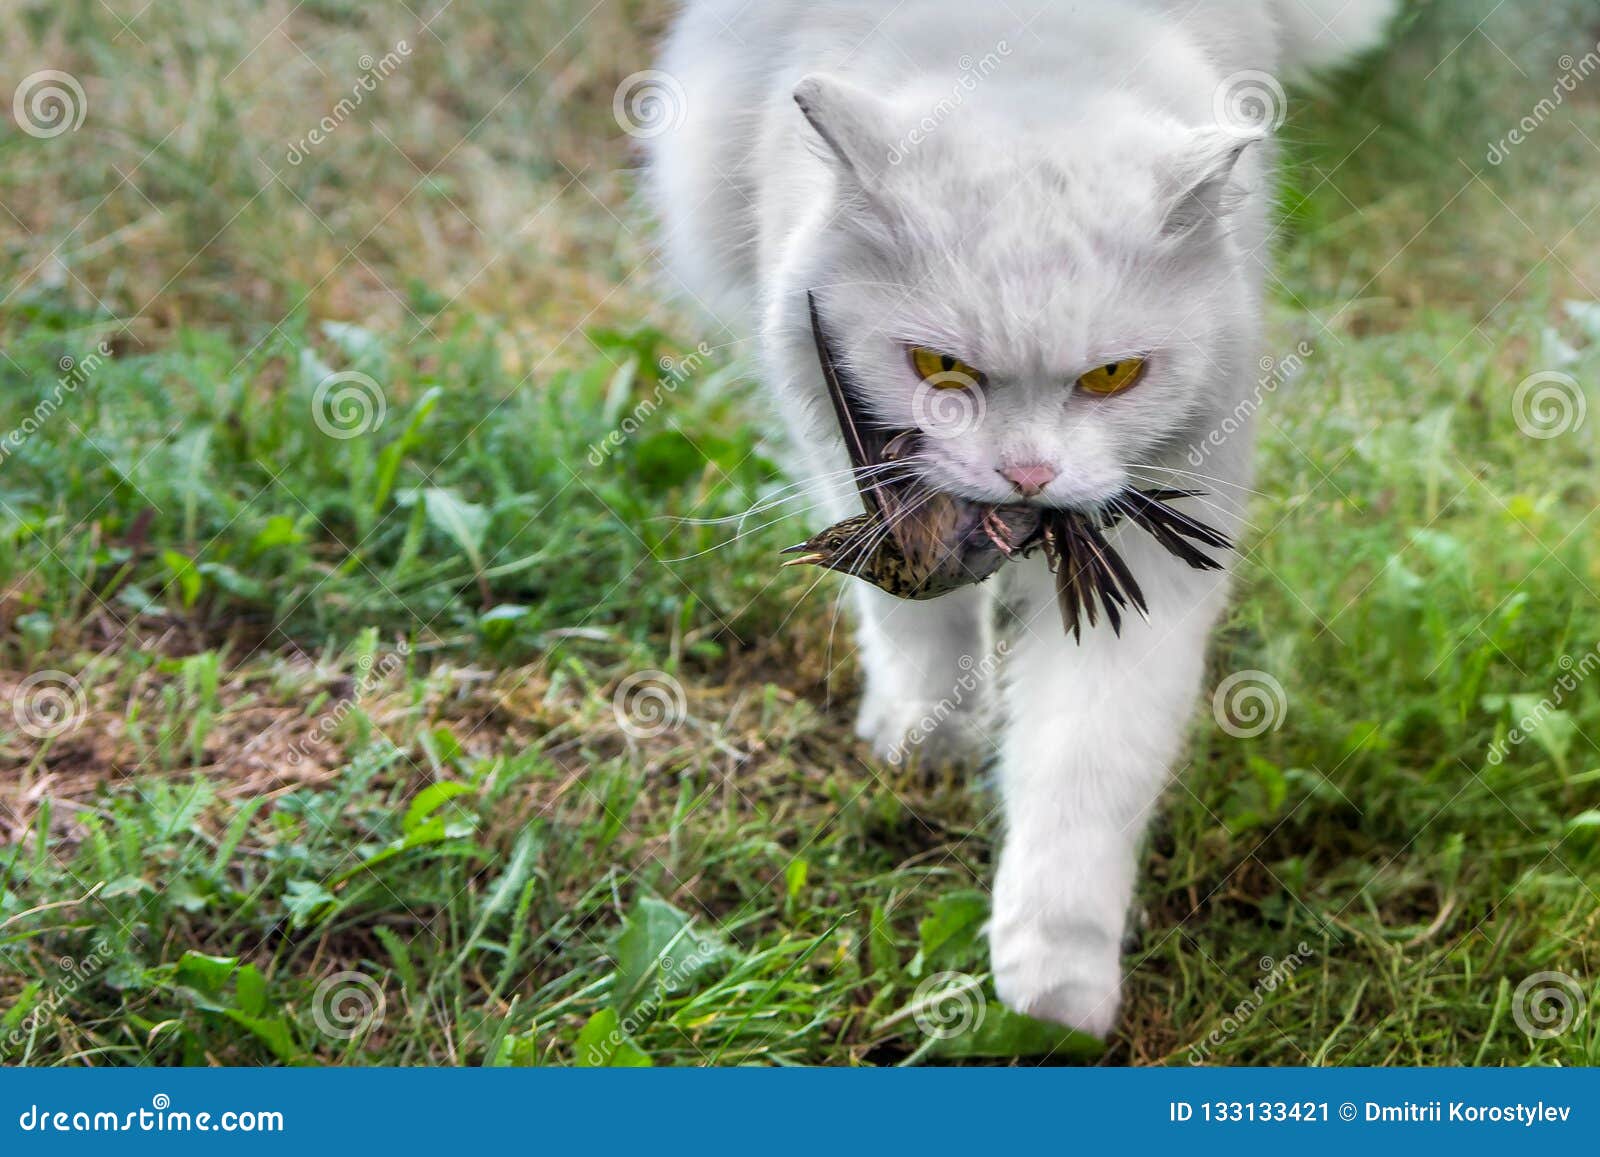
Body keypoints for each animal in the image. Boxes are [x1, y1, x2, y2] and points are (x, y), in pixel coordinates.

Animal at [643, 0, 1395, 1030]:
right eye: (938, 368)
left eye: (1113, 376)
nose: (1028, 473)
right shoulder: (843, 444)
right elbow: (918, 621)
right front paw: (929, 739)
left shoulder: (1155, 564)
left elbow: (1088, 761)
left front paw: (1053, 986)